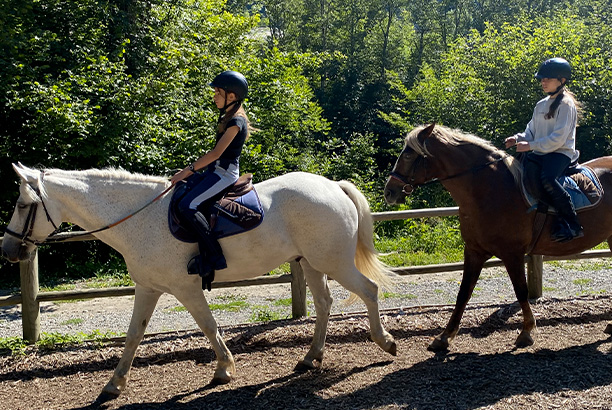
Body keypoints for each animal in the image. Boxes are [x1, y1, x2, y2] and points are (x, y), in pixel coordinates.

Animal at [1, 163, 396, 398]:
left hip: (334, 262)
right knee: (324, 304)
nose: (7, 249)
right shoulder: (148, 288)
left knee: (369, 290)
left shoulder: (185, 288)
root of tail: (333, 186)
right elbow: (133, 336)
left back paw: (385, 343)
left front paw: (224, 369)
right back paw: (311, 357)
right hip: (312, 264)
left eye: (21, 205)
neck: (139, 218)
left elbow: (208, 325)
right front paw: (114, 383)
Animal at [384, 123, 612, 350]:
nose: (389, 192)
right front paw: (444, 336)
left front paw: (526, 332)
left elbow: (520, 291)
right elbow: (463, 292)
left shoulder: (513, 254)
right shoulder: (474, 251)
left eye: (407, 155)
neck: (489, 190)